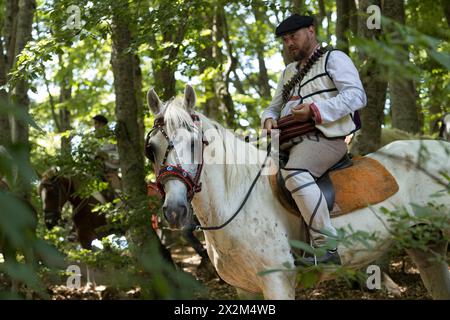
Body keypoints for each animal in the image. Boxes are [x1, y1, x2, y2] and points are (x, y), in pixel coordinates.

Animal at [145, 85, 450, 300]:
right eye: (151, 149)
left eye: (196, 143)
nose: (175, 210)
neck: (237, 202)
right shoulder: (245, 289)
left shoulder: (277, 283)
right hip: (426, 246)